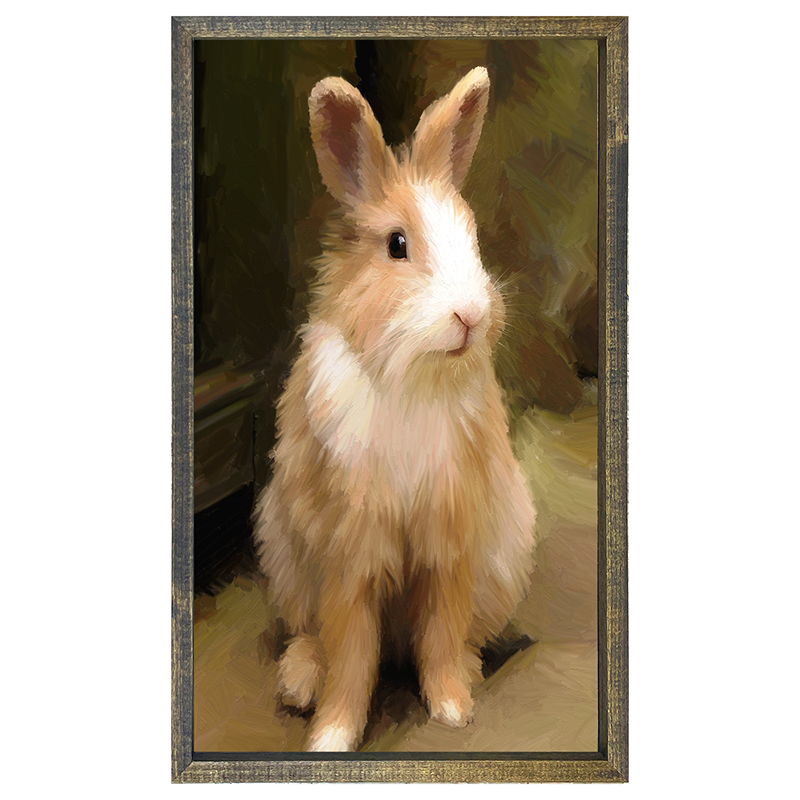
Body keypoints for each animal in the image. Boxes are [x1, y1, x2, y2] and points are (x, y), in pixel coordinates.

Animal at [252, 66, 537, 752]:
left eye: (472, 237)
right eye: (398, 244)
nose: (471, 315)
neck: (412, 375)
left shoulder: (448, 538)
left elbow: (441, 628)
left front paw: (454, 708)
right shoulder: (350, 548)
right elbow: (352, 648)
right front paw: (331, 736)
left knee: (457, 635)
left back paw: (469, 670)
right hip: (285, 554)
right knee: (315, 636)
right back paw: (299, 683)